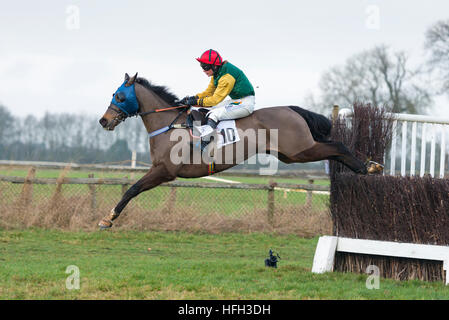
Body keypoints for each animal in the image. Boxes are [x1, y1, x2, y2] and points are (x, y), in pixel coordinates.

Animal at [99, 73, 374, 228]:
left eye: (120, 96)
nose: (103, 121)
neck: (169, 124)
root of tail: (291, 108)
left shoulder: (164, 170)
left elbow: (133, 189)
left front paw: (108, 218)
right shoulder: (161, 171)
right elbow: (133, 188)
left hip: (300, 149)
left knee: (337, 146)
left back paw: (368, 166)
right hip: (291, 154)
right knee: (332, 149)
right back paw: (367, 167)